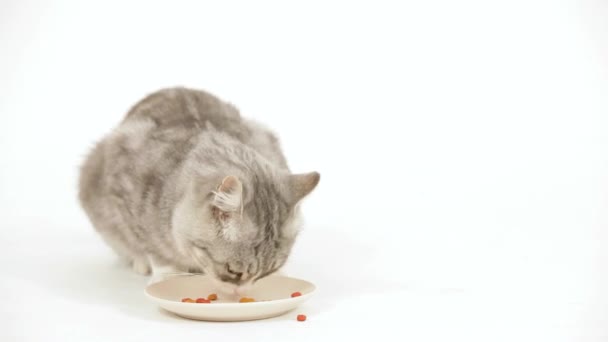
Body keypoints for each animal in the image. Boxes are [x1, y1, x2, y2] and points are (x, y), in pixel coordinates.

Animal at [78, 87, 320, 296]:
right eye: (233, 271)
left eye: (266, 273)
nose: (242, 292)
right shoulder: (125, 194)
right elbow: (153, 249)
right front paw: (166, 275)